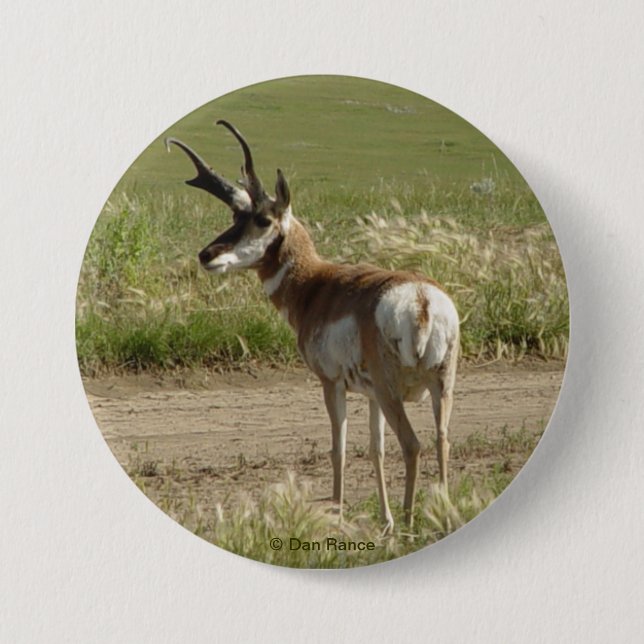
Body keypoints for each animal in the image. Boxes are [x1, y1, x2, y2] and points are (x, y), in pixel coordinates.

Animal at [165, 120, 459, 533]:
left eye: (261, 219)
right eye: (236, 217)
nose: (206, 255)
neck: (317, 283)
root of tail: (420, 298)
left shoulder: (331, 383)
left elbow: (338, 449)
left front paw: (337, 516)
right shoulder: (370, 396)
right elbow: (375, 449)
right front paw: (382, 521)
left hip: (394, 392)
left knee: (413, 444)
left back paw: (409, 521)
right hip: (440, 386)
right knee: (441, 440)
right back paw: (440, 516)